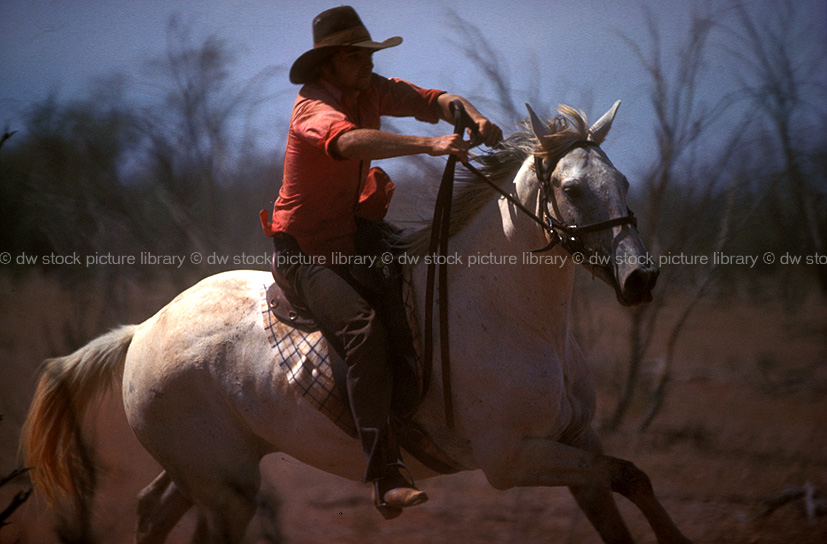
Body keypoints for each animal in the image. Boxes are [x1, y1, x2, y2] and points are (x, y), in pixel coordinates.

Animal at [21, 102, 692, 544]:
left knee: (151, 508)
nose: (641, 279)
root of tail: (142, 330)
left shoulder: (578, 440)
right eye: (573, 189)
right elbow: (629, 474)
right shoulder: (514, 459)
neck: (516, 320)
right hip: (225, 489)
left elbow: (629, 485)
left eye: (622, 181)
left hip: (203, 473)